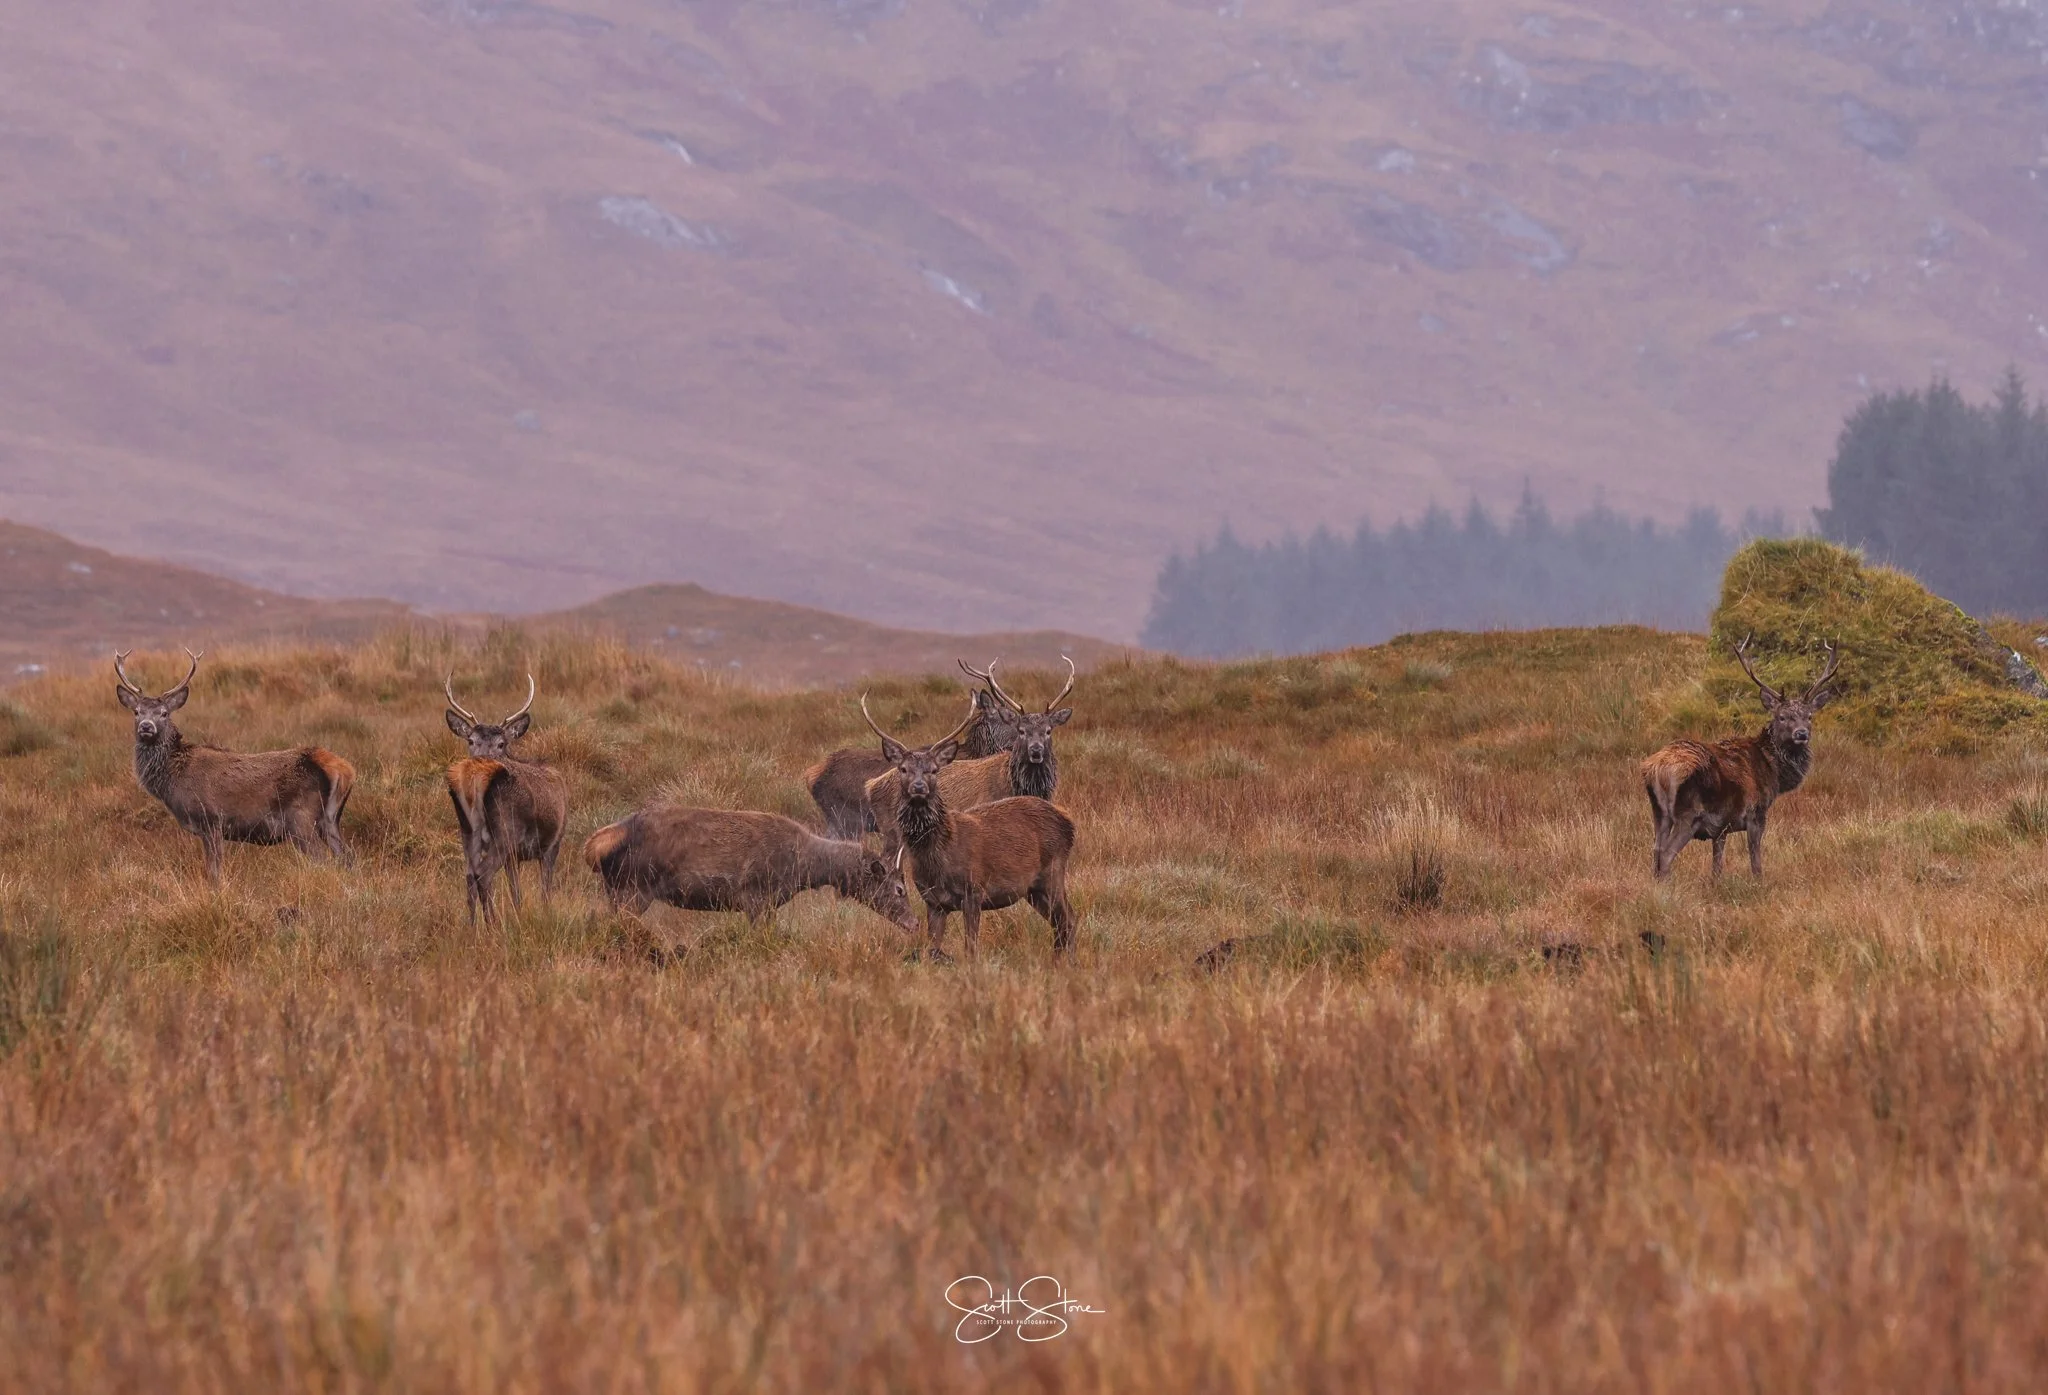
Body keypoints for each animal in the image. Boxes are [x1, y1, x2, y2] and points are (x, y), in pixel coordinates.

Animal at [114, 648, 355, 884]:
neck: (173, 780)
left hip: (301, 819)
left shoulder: (211, 820)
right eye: (136, 711)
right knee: (347, 856)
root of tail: (342, 768)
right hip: (330, 819)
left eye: (164, 713)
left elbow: (214, 871)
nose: (146, 727)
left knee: (322, 860)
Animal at [444, 674, 568, 926]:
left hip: (467, 832)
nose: (481, 760)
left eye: (501, 744)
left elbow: (516, 892)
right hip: (505, 831)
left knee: (469, 876)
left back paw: (473, 927)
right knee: (483, 874)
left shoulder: (515, 855)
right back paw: (492, 924)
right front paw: (543, 916)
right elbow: (544, 892)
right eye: (470, 740)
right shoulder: (552, 843)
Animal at [583, 805, 918, 932]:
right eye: (899, 889)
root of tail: (594, 846)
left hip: (615, 892)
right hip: (633, 889)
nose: (915, 923)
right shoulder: (758, 898)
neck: (804, 869)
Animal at [859, 694, 1078, 962]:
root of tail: (1068, 821)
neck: (938, 857)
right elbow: (932, 949)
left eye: (934, 770)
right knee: (1061, 923)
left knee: (1068, 920)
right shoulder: (933, 902)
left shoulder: (974, 891)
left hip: (1053, 873)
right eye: (904, 769)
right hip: (1033, 889)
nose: (919, 787)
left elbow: (971, 947)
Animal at [1640, 636, 1841, 881]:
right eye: (1782, 717)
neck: (1774, 773)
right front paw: (1759, 883)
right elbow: (1755, 860)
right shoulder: (1756, 813)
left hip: (1659, 813)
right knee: (1666, 853)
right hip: (1688, 813)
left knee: (1655, 850)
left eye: (1809, 716)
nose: (1801, 734)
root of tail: (1658, 769)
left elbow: (1717, 864)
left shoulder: (1720, 827)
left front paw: (1716, 883)